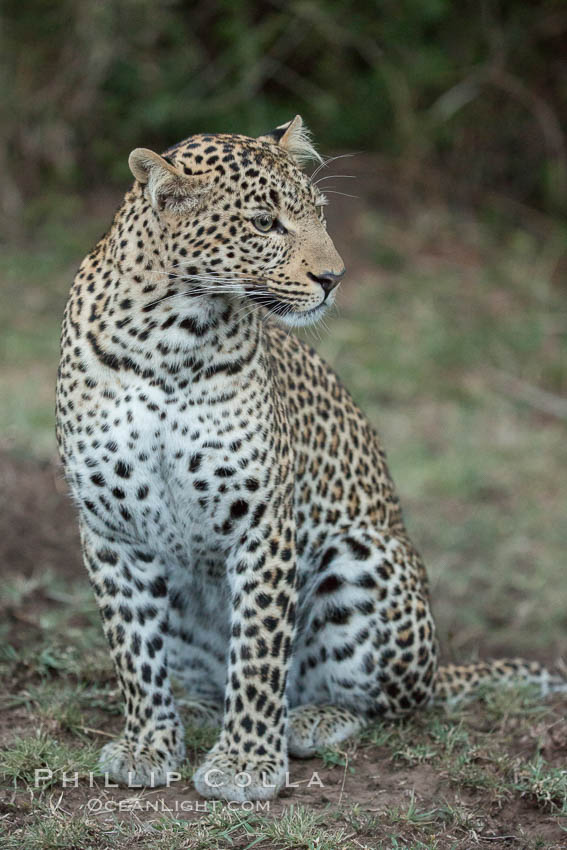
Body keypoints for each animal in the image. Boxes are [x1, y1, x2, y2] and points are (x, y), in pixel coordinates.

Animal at [55, 116, 564, 800]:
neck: (171, 338)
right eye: (265, 223)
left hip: (365, 560)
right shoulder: (110, 527)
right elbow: (134, 651)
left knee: (383, 704)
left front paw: (247, 764)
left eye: (318, 213)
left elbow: (259, 652)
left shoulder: (263, 519)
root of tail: (437, 669)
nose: (335, 277)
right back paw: (198, 712)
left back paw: (309, 720)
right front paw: (147, 745)